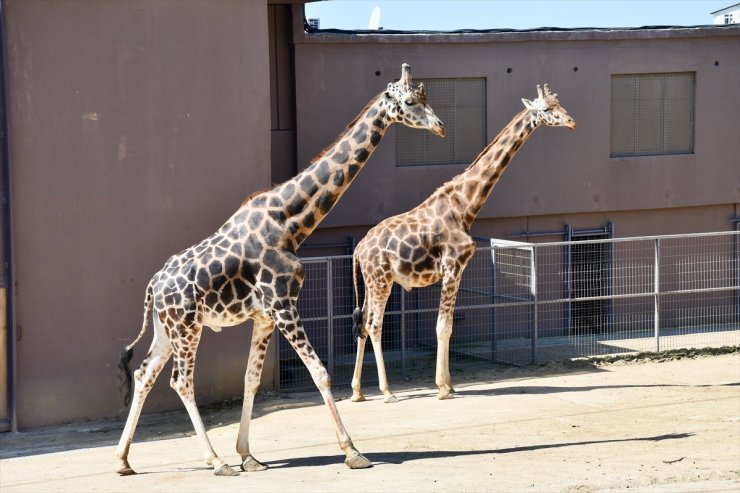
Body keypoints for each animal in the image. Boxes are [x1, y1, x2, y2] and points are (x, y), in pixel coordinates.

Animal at [112, 63, 442, 474]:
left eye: (427, 97)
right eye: (410, 102)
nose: (440, 127)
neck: (289, 221)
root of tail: (153, 286)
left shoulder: (265, 315)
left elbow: (251, 380)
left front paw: (248, 455)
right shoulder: (284, 305)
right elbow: (319, 372)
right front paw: (352, 452)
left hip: (166, 328)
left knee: (144, 373)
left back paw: (123, 460)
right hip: (187, 327)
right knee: (181, 381)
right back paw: (215, 460)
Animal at [350, 82, 576, 402]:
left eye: (560, 104)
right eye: (546, 109)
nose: (571, 121)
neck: (465, 205)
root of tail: (358, 250)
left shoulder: (456, 270)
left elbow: (448, 327)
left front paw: (449, 384)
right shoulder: (452, 268)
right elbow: (443, 327)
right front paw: (443, 388)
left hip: (373, 281)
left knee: (363, 323)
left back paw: (358, 391)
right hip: (381, 279)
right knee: (374, 324)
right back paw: (387, 391)